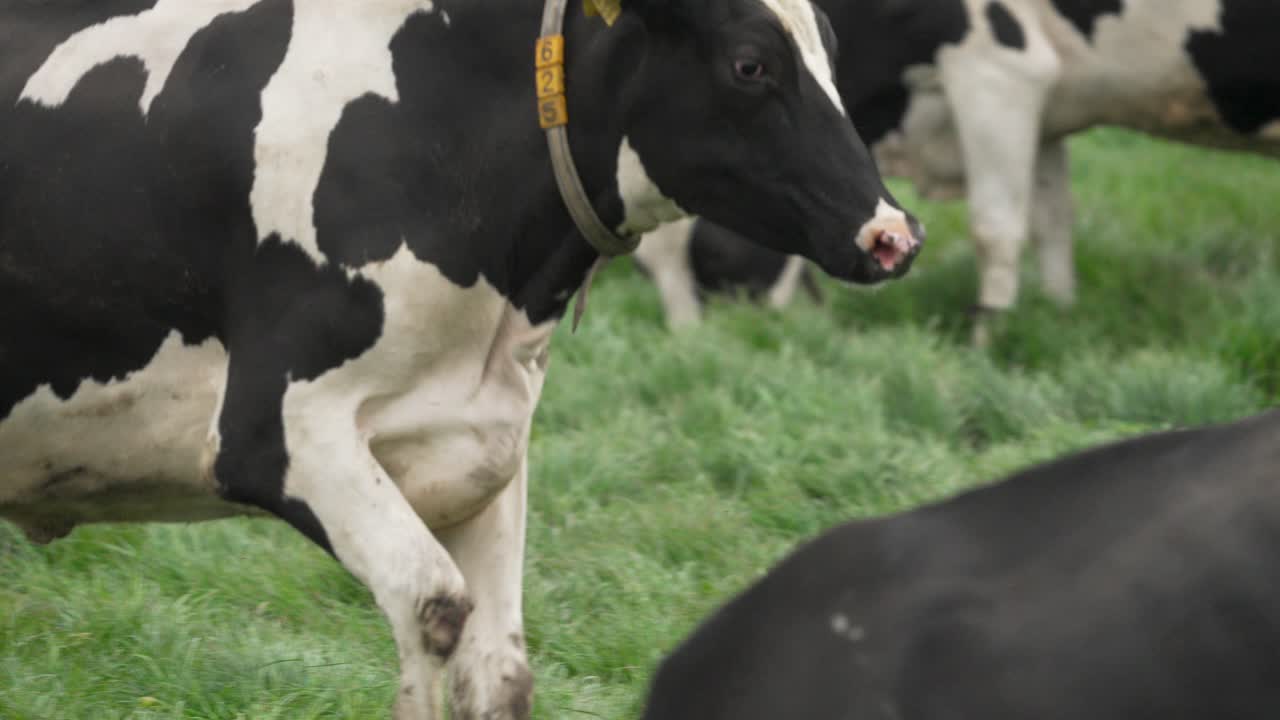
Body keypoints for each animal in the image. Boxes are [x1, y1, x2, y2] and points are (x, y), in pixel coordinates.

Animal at [0, 0, 923, 718]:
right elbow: (434, 606)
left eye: (831, 48)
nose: (894, 233)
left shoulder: (484, 444)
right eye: (749, 64)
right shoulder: (277, 432)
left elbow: (502, 673)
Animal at [637, 0, 1280, 341]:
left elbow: (995, 230)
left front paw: (984, 341)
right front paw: (1059, 312)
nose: (694, 352)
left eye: (714, 253)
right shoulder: (1047, 110)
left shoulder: (998, 68)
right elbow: (1052, 221)